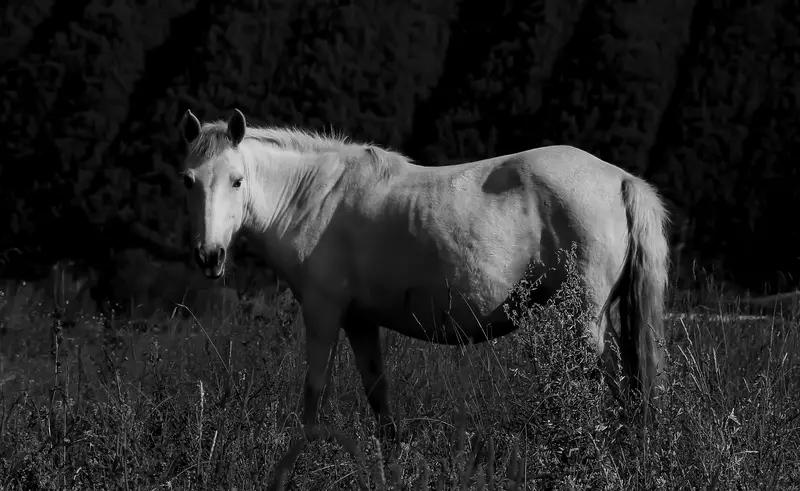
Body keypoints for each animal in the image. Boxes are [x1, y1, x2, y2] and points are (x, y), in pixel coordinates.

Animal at [178, 108, 669, 441]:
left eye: (237, 180)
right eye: (189, 181)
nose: (210, 256)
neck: (315, 196)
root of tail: (619, 179)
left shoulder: (322, 311)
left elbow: (314, 389)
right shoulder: (359, 321)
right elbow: (377, 392)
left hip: (583, 320)